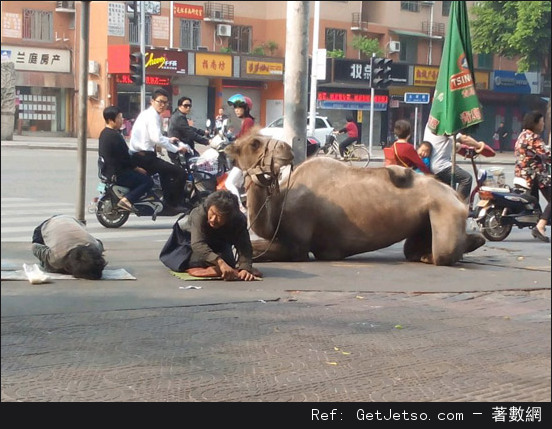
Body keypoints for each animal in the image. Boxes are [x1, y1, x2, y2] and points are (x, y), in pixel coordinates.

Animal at [224, 131, 484, 264]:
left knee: (443, 253)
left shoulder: (298, 245)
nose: (286, 149)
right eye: (254, 143)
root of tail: (458, 198)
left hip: (444, 208)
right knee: (411, 250)